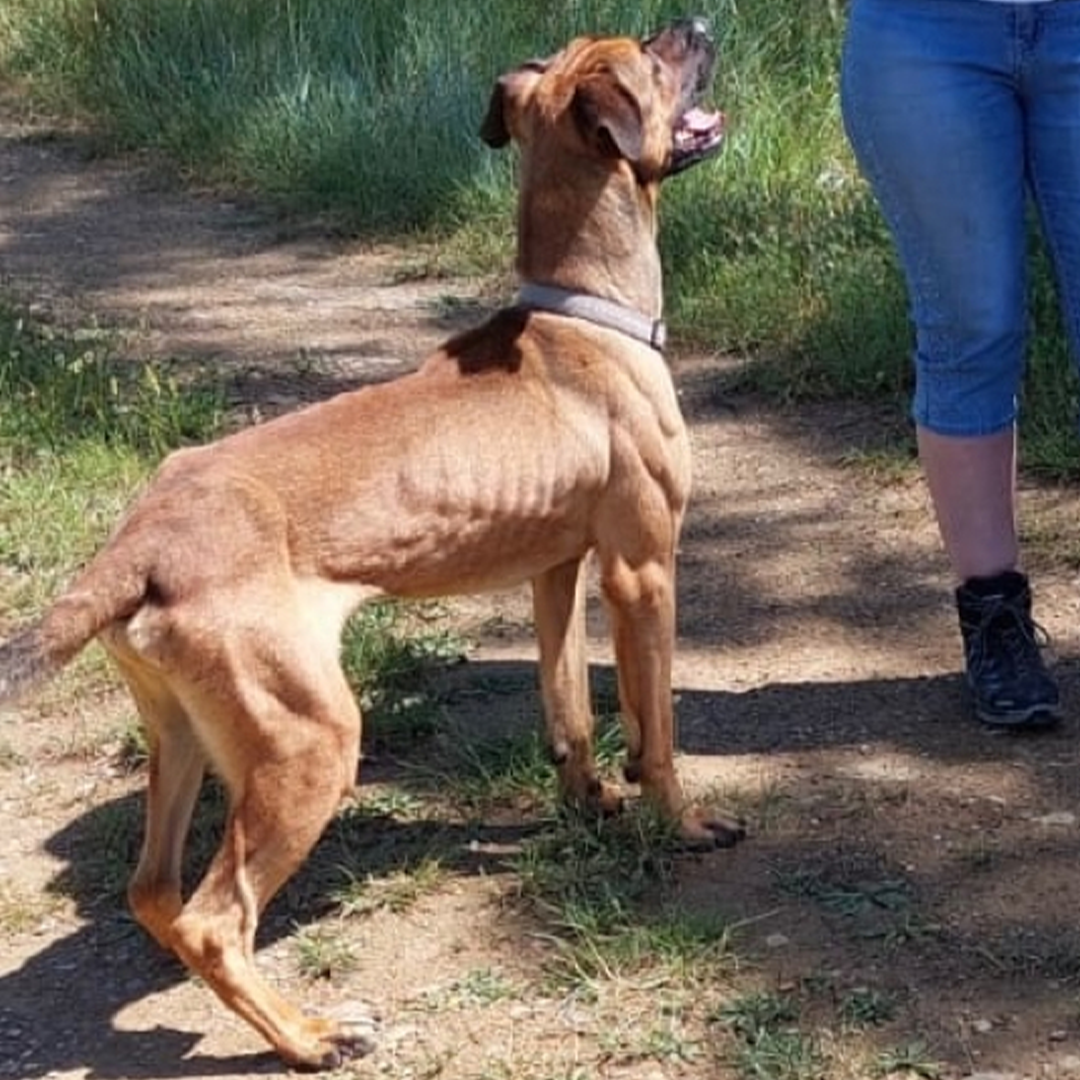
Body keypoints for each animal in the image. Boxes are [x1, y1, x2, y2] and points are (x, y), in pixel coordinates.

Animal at [0, 16, 743, 1071]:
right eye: (648, 55)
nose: (699, 24)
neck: (580, 311)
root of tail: (137, 545)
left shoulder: (556, 571)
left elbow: (566, 704)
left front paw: (589, 797)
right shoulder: (642, 571)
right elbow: (658, 729)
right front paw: (681, 821)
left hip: (184, 733)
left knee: (154, 891)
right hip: (309, 741)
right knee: (214, 920)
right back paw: (311, 1037)